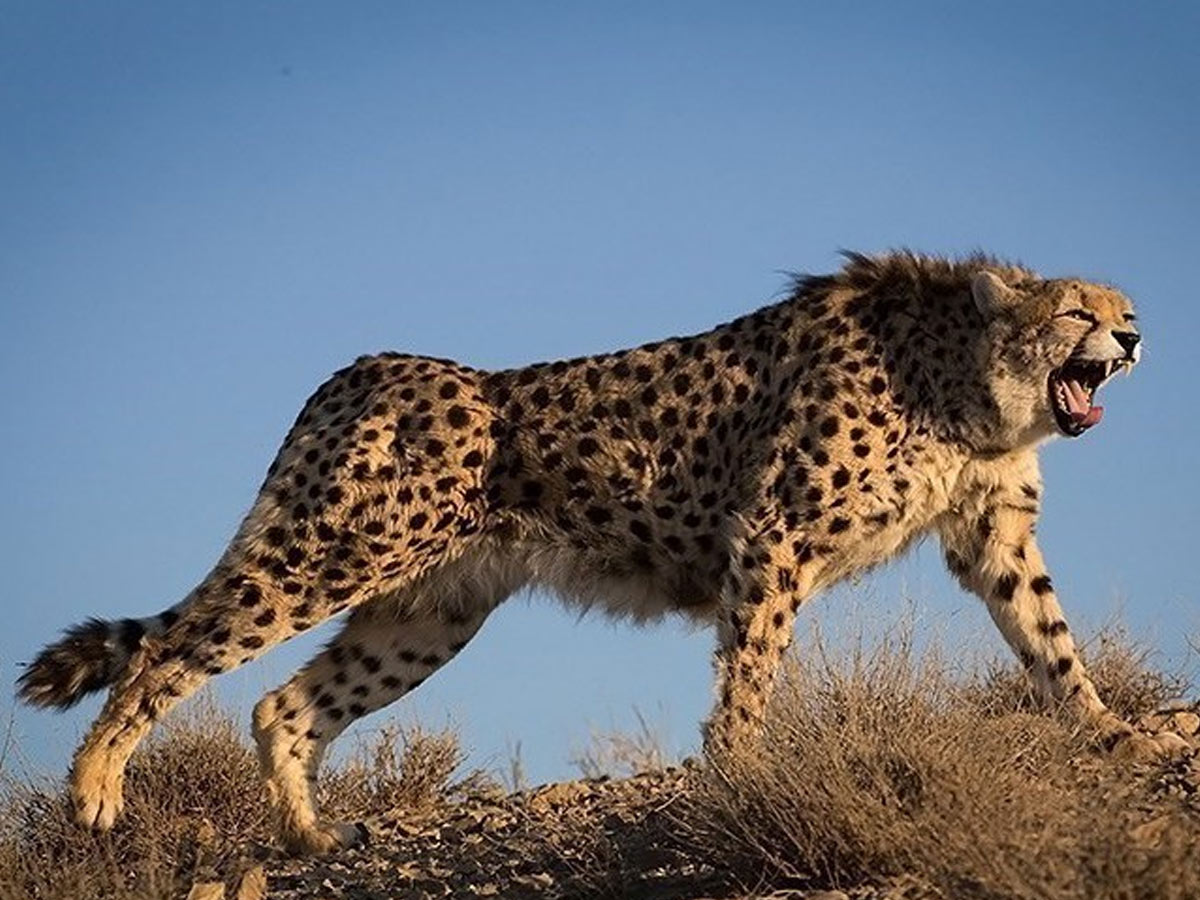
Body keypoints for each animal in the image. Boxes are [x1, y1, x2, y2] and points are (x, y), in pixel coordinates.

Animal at [18, 250, 1187, 855]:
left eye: (1125, 309)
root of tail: (369, 368)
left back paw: (307, 839)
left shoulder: (993, 535)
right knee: (168, 650)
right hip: (335, 551)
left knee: (286, 703)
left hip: (428, 612)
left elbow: (1050, 637)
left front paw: (1111, 732)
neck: (961, 380)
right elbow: (751, 670)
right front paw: (740, 769)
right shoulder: (771, 536)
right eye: (1076, 312)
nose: (1135, 339)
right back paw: (96, 792)